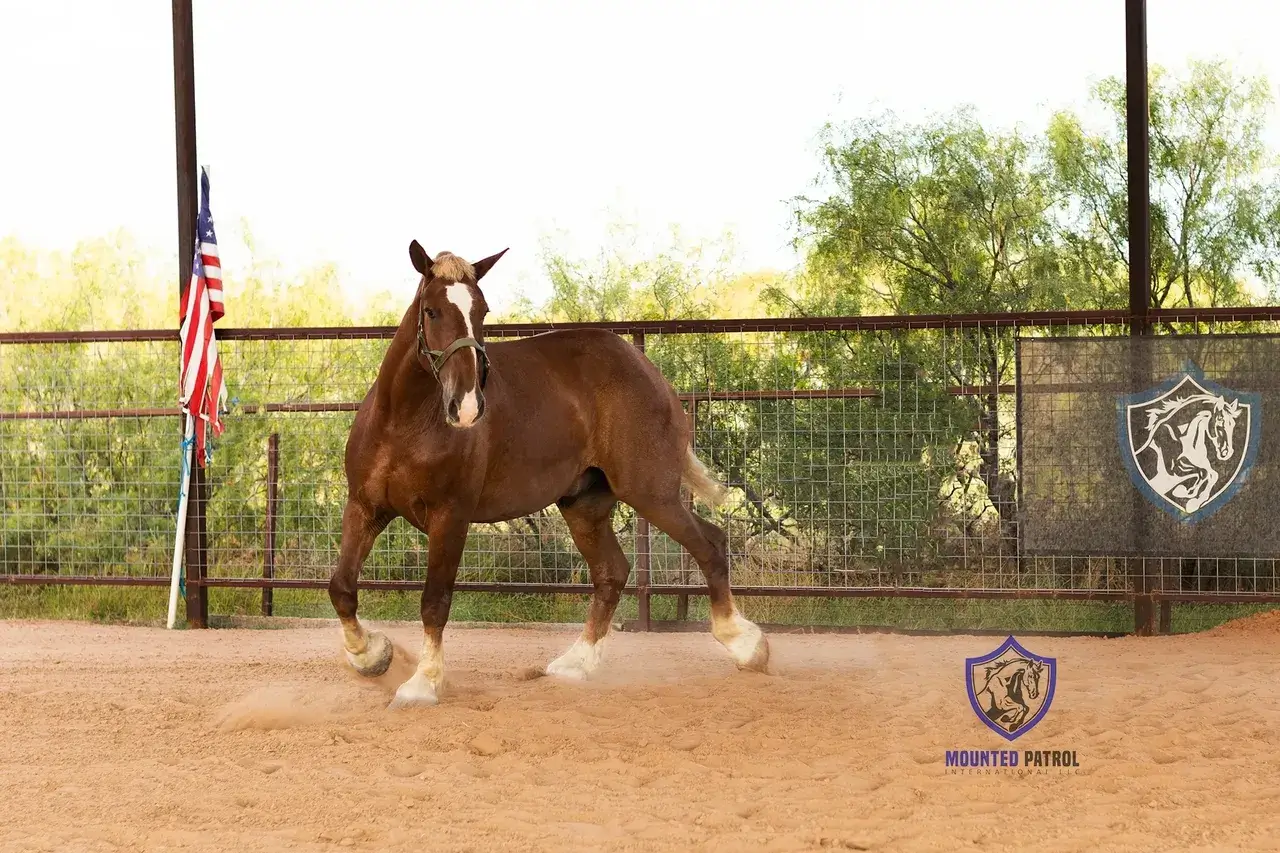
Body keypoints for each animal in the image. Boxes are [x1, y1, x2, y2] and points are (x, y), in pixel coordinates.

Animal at [327, 241, 771, 708]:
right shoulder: (365, 507)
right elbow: (341, 587)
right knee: (612, 572)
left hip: (650, 492)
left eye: (482, 310)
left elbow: (435, 600)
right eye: (431, 311)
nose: (466, 406)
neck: (406, 422)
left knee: (710, 545)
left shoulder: (450, 517)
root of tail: (645, 369)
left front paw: (423, 684)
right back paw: (575, 663)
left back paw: (746, 645)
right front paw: (372, 656)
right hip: (585, 504)